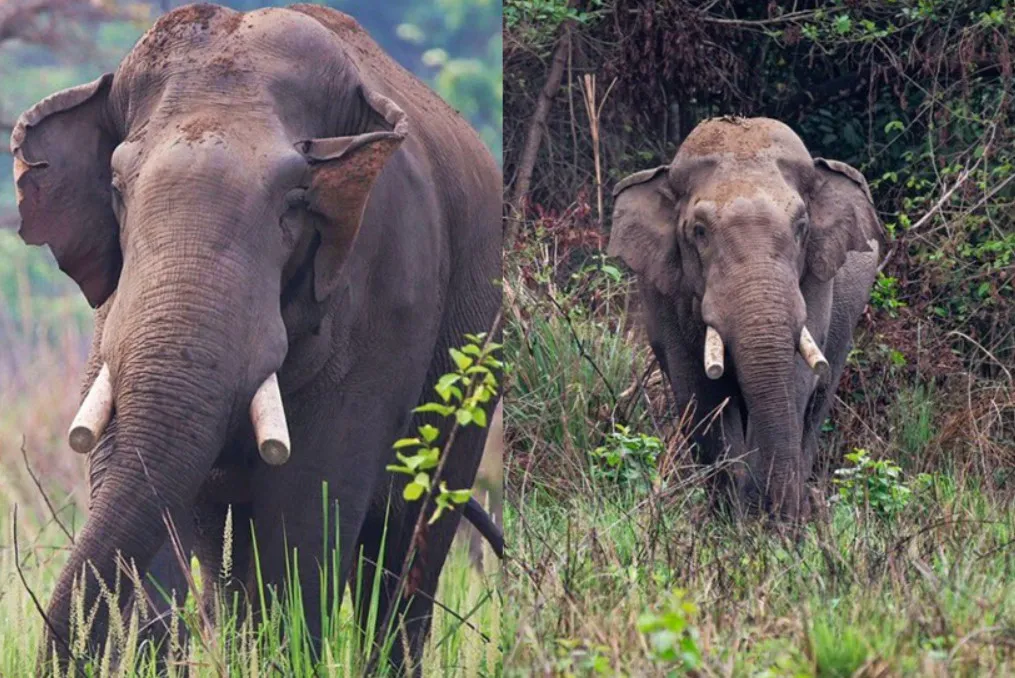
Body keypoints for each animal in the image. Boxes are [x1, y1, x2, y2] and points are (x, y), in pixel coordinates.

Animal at [11, 3, 501, 673]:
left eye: (294, 202)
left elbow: (308, 500)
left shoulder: (391, 277)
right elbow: (134, 477)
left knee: (408, 548)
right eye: (115, 188)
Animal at [607, 116, 882, 521]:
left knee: (817, 402)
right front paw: (732, 517)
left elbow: (795, 380)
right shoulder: (665, 292)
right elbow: (700, 391)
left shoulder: (817, 280)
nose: (770, 511)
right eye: (699, 232)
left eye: (801, 227)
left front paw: (772, 518)